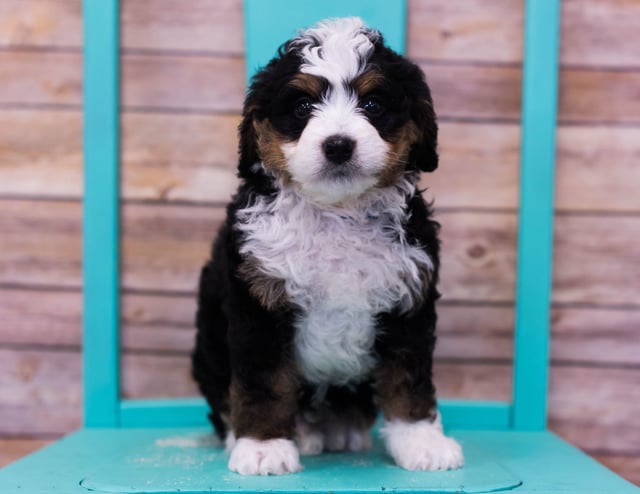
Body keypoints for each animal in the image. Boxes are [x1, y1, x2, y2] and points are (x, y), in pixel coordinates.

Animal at [192, 16, 462, 474]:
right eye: (303, 107)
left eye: (373, 105)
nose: (338, 145)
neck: (336, 213)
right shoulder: (258, 299)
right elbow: (263, 380)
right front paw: (263, 445)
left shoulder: (408, 297)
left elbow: (408, 376)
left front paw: (421, 441)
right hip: (210, 342)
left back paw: (340, 428)